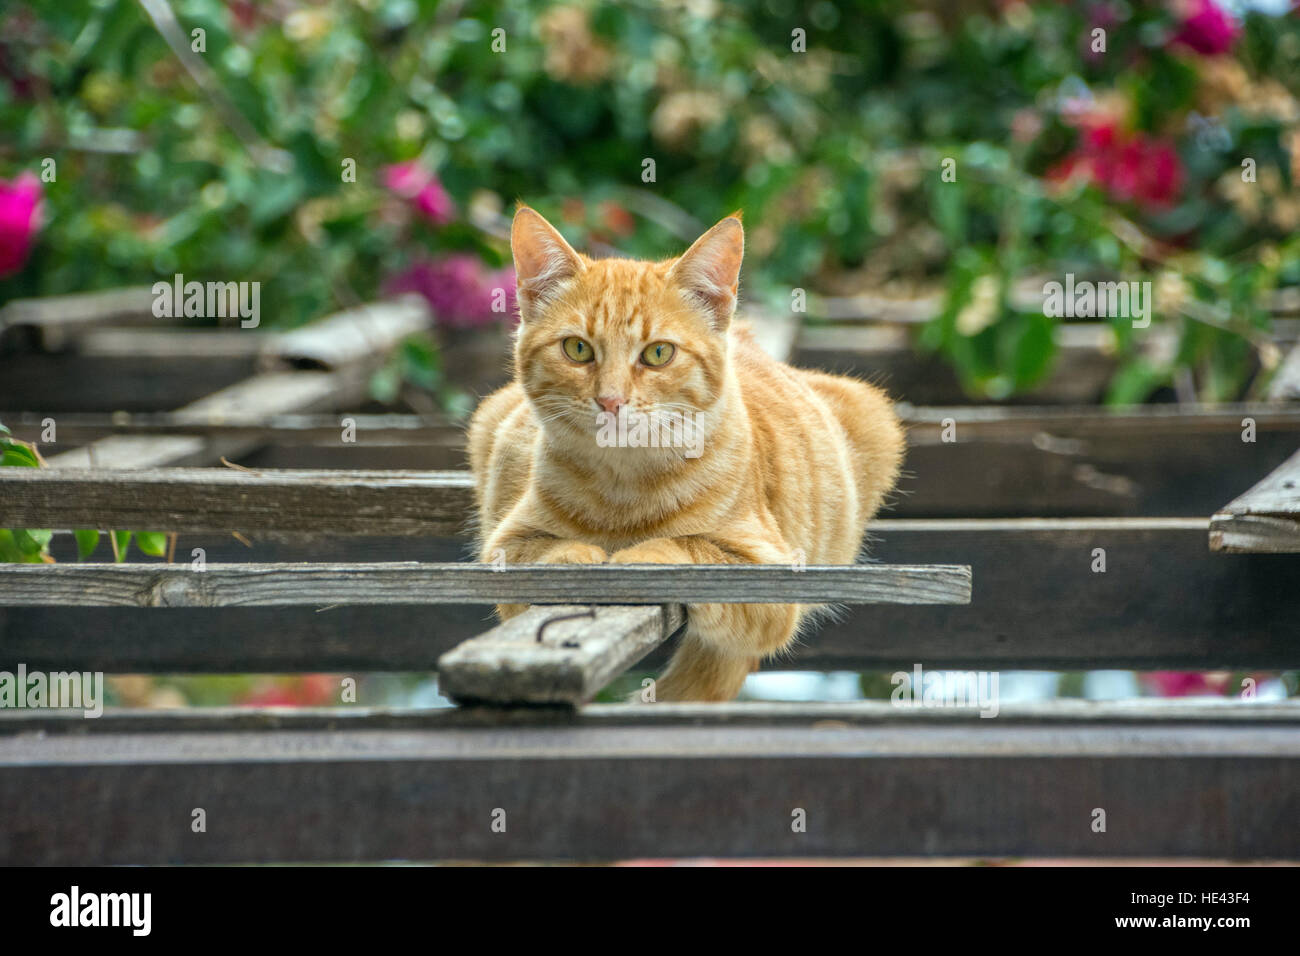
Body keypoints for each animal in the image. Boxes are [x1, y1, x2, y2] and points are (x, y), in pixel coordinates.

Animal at [467, 208, 904, 702]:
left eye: (658, 353)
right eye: (577, 349)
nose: (611, 401)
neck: (623, 491)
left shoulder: (768, 575)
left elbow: (688, 545)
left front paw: (637, 554)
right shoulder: (506, 543)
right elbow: (546, 550)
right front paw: (579, 553)